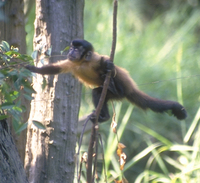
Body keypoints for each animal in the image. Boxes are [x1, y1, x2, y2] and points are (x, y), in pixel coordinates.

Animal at [25, 39, 187, 121]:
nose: (70, 51)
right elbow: (54, 69)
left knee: (108, 80)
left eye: (76, 49)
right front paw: (31, 68)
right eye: (71, 49)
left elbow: (106, 62)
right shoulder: (71, 63)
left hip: (121, 89)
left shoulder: (93, 59)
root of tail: (130, 89)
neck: (82, 63)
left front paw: (107, 66)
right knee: (98, 92)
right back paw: (104, 115)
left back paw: (113, 87)